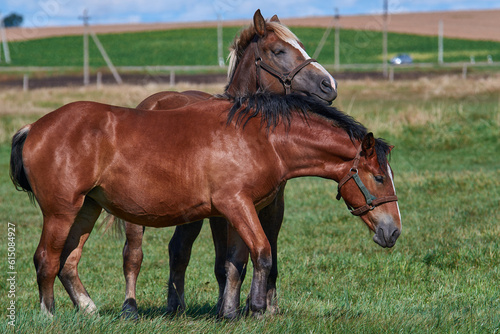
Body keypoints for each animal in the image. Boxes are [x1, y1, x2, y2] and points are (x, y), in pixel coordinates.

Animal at [10, 92, 402, 318]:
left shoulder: (239, 210)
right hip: (61, 210)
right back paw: (49, 316)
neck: (262, 139)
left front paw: (230, 312)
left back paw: (89, 309)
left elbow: (235, 262)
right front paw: (256, 309)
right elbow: (262, 253)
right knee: (46, 259)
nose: (393, 231)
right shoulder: (236, 205)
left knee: (68, 262)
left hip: (87, 208)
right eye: (379, 178)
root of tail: (34, 127)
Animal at [120, 10, 336, 318]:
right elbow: (228, 262)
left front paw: (266, 305)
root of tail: (154, 102)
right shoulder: (224, 212)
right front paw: (231, 306)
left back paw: (176, 305)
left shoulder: (272, 207)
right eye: (278, 51)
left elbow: (262, 254)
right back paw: (131, 308)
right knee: (134, 253)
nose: (329, 85)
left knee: (178, 250)